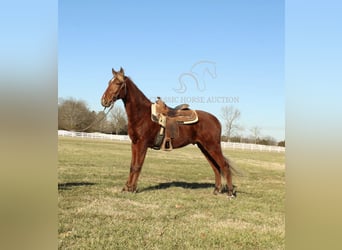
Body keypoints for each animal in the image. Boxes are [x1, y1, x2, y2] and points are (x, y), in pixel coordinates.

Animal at [100, 67, 236, 198]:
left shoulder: (142, 144)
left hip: (212, 146)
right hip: (204, 147)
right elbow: (132, 166)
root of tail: (216, 120)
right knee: (216, 167)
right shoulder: (134, 144)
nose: (104, 101)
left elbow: (137, 166)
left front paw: (132, 189)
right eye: (109, 82)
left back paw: (230, 193)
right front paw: (127, 188)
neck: (142, 114)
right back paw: (216, 190)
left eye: (118, 83)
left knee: (224, 166)